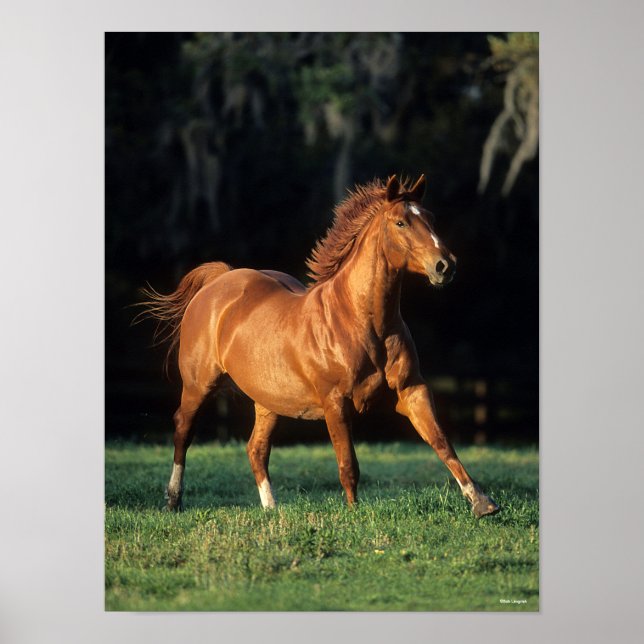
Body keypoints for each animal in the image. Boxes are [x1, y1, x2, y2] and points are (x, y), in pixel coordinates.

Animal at [138, 174, 499, 518]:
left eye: (431, 218)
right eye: (400, 222)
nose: (445, 266)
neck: (362, 321)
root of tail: (219, 280)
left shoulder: (411, 390)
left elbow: (441, 441)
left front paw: (482, 503)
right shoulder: (335, 402)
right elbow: (348, 465)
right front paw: (354, 514)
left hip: (268, 401)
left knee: (256, 449)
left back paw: (272, 510)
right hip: (199, 385)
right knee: (183, 430)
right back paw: (173, 501)